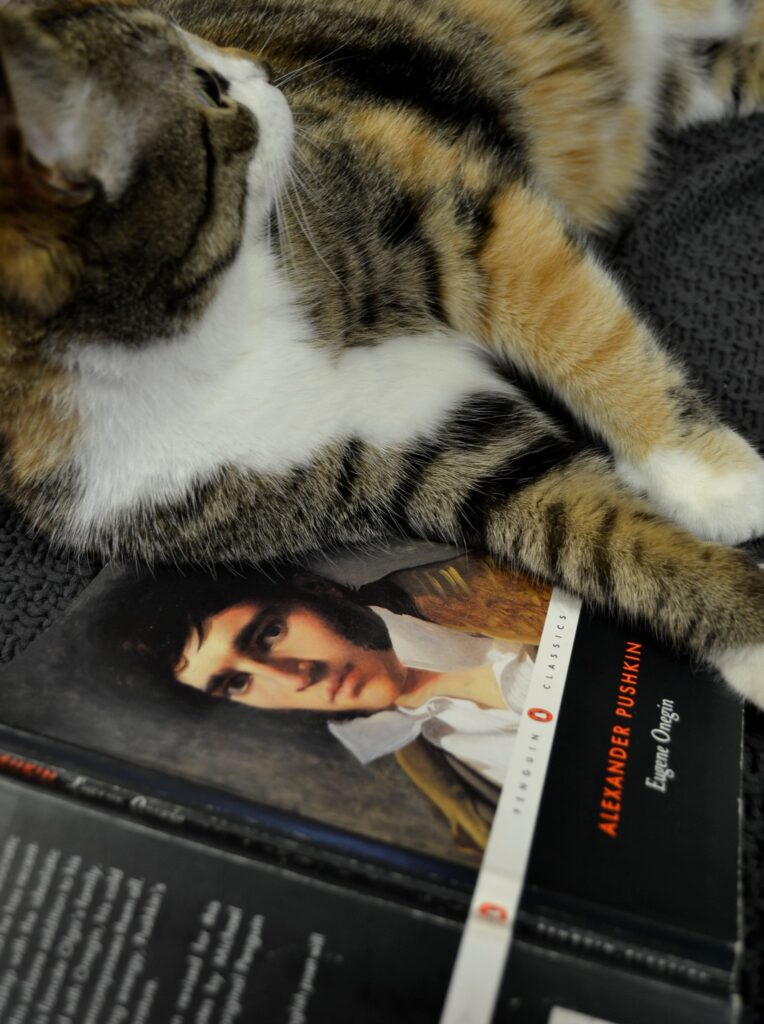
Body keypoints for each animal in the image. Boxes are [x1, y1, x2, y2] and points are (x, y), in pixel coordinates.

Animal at [1, 0, 761, 704]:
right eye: (209, 89)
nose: (263, 69)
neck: (209, 340)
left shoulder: (435, 204)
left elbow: (582, 331)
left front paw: (709, 477)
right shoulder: (441, 455)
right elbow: (600, 534)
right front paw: (748, 637)